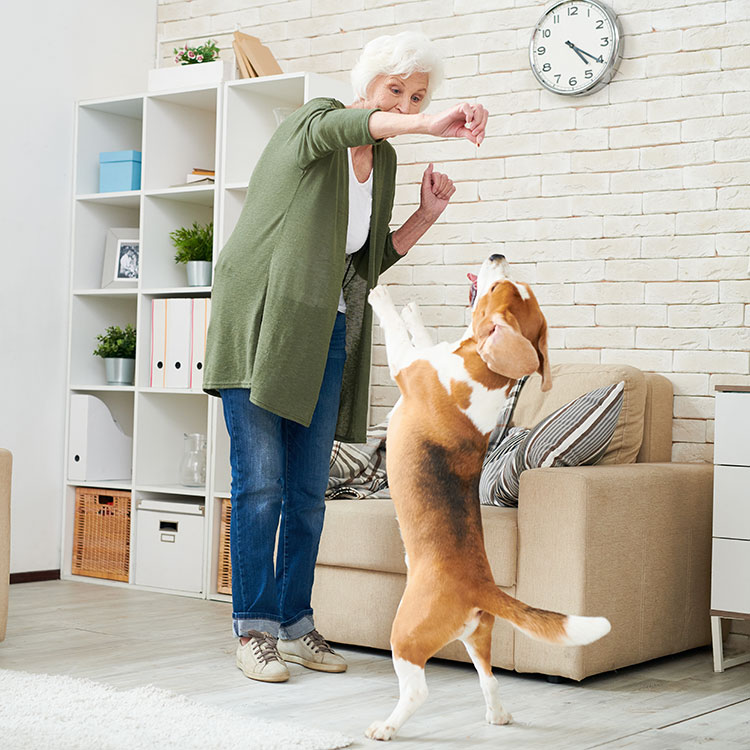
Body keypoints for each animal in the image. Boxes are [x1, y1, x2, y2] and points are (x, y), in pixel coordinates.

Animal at [368, 256, 612, 744]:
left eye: (498, 287)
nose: (497, 256)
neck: (485, 368)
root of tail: (481, 585)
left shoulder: (406, 367)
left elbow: (398, 335)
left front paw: (383, 297)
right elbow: (422, 333)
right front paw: (414, 311)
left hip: (405, 634)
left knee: (418, 690)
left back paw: (386, 727)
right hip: (477, 637)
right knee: (491, 678)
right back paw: (498, 716)